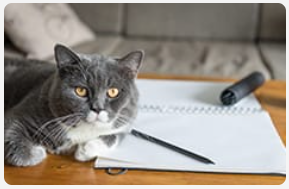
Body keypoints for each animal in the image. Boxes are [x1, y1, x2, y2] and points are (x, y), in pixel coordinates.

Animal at [4, 44, 144, 167]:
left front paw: (86, 149)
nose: (97, 108)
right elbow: (10, 130)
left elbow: (116, 136)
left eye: (113, 92)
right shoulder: (25, 111)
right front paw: (36, 153)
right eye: (80, 91)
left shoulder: (127, 121)